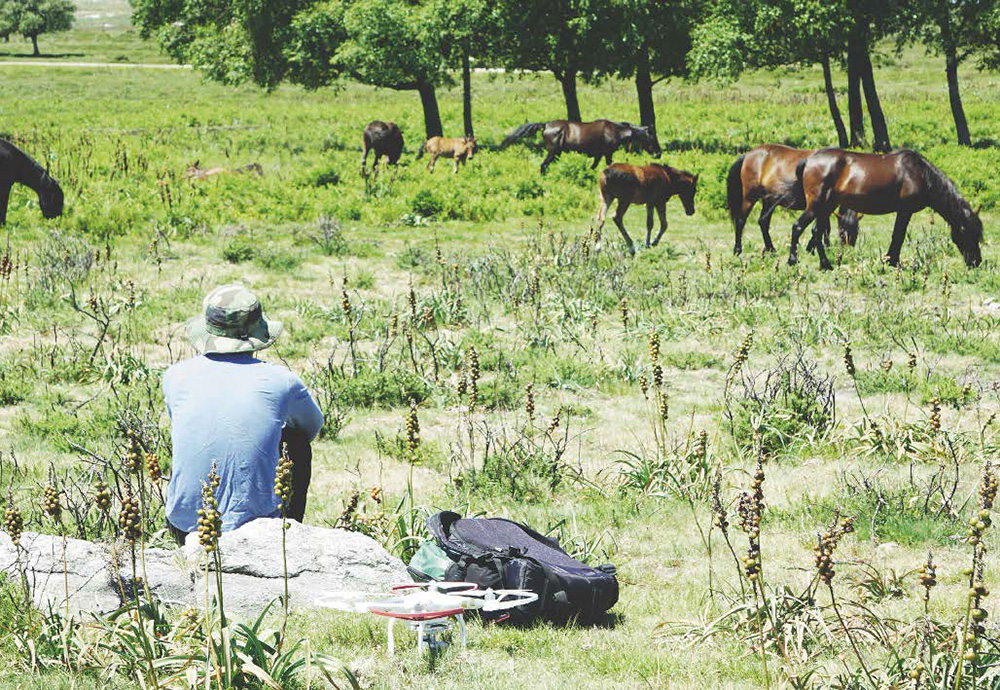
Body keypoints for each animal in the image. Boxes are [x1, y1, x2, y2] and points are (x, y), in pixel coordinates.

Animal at [504, 118, 660, 173]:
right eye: (652, 137)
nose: (658, 153)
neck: (614, 131)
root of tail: (546, 125)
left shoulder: (599, 155)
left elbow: (593, 167)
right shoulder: (607, 154)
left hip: (557, 153)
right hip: (552, 152)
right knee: (543, 165)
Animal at [728, 144, 860, 255]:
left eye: (856, 230)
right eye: (843, 231)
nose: (849, 250)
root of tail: (747, 155)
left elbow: (823, 228)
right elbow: (822, 228)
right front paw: (814, 248)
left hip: (769, 201)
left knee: (763, 221)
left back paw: (771, 249)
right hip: (750, 197)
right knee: (740, 221)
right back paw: (737, 250)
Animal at [788, 148, 984, 268]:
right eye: (969, 234)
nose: (976, 262)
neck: (920, 174)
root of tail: (809, 160)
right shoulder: (905, 210)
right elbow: (898, 235)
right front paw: (892, 261)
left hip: (826, 206)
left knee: (816, 231)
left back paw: (825, 265)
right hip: (817, 204)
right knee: (798, 227)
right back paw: (793, 261)